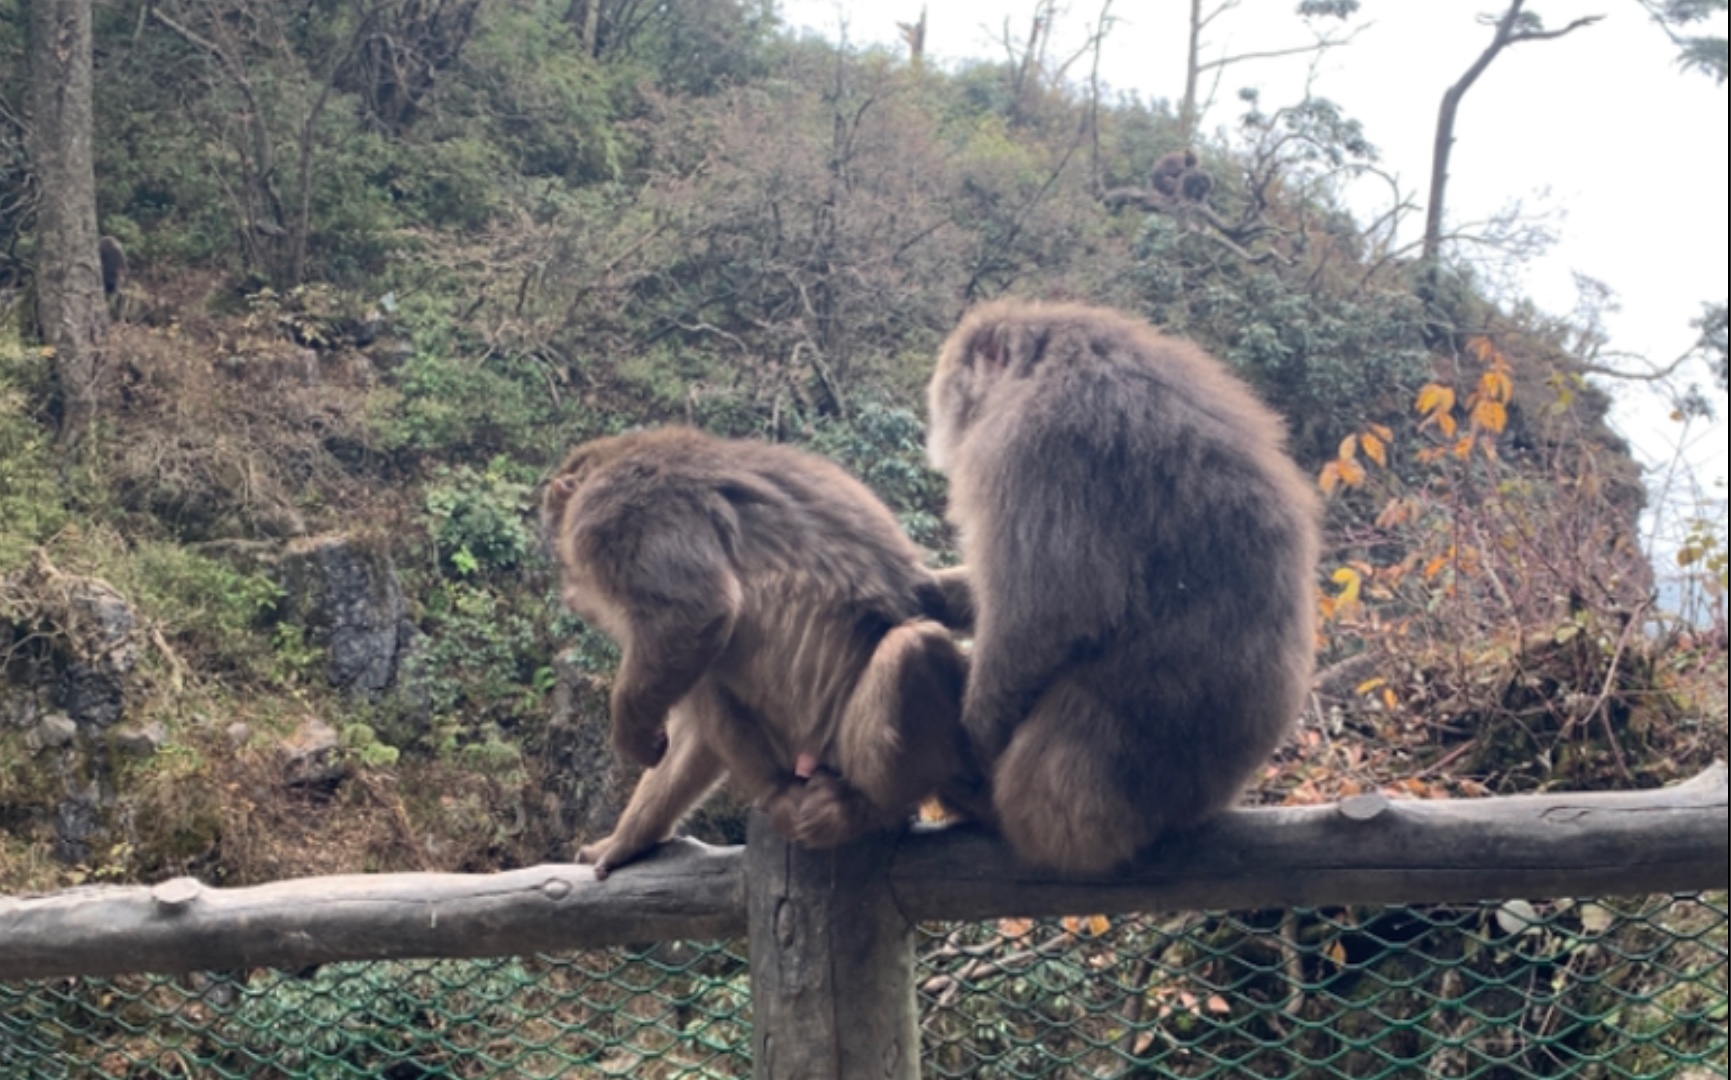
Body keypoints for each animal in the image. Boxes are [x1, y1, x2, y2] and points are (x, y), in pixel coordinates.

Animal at [540, 424, 990, 879]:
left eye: (563, 556)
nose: (569, 594)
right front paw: (626, 840)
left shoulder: (617, 509)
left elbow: (696, 613)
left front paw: (629, 730)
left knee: (913, 649)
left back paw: (866, 810)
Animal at [927, 299, 1315, 872]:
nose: (947, 425)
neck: (1044, 360)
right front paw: (934, 589)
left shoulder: (1032, 444)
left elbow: (1047, 614)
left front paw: (977, 737)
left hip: (1103, 792)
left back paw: (981, 804)